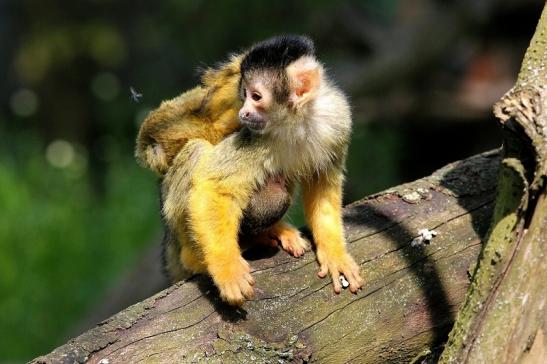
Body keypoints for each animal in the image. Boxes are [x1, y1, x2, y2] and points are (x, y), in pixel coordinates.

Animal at [143, 35, 364, 306]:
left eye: (256, 96)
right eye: (244, 95)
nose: (243, 112)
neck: (296, 120)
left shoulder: (337, 120)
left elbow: (323, 185)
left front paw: (334, 253)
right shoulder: (255, 133)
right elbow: (215, 185)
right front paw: (228, 271)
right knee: (195, 148)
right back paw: (197, 258)